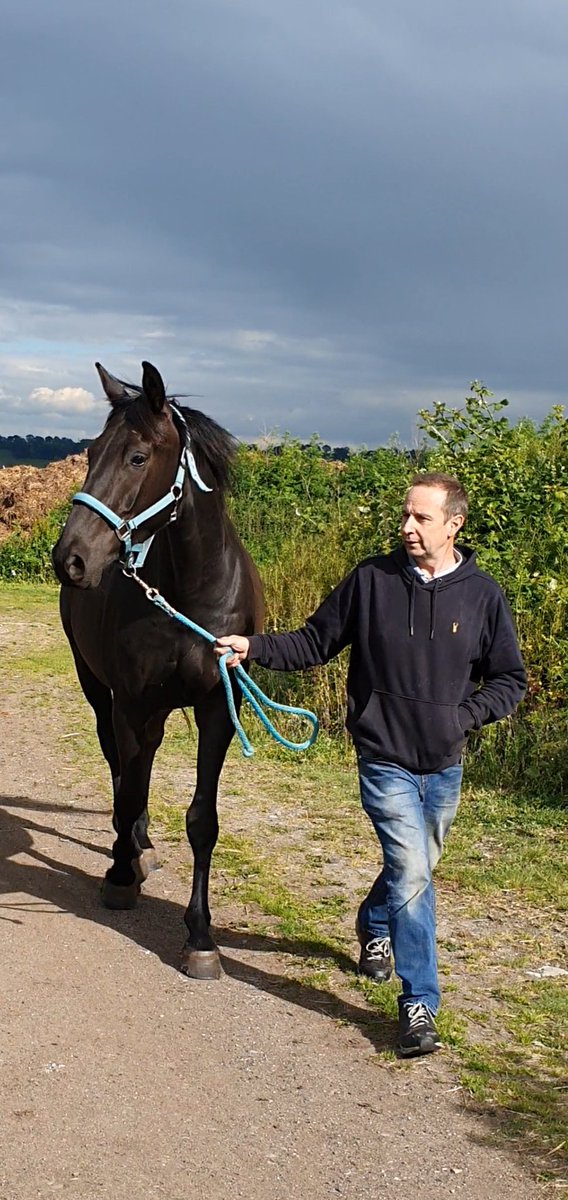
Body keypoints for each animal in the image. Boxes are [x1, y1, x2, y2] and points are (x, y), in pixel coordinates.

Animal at [52, 360, 264, 979]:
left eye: (138, 457)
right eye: (92, 451)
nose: (70, 559)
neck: (191, 594)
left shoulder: (219, 708)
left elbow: (202, 820)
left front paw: (201, 937)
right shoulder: (129, 702)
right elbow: (127, 789)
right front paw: (121, 876)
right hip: (99, 690)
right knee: (123, 768)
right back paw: (132, 851)